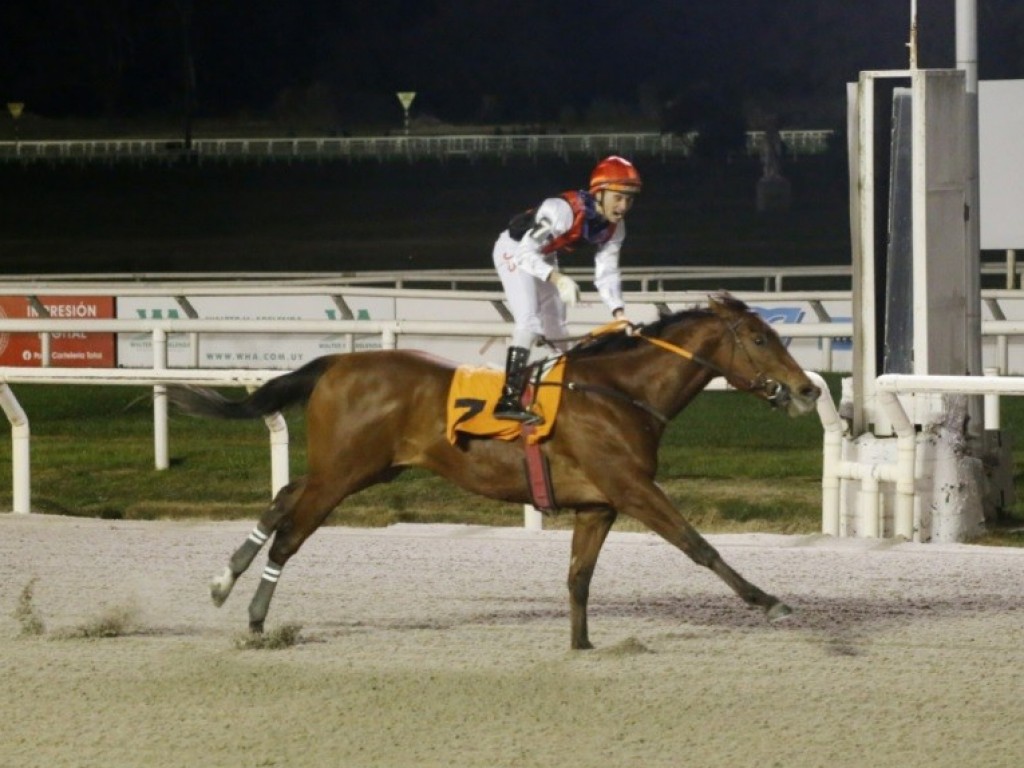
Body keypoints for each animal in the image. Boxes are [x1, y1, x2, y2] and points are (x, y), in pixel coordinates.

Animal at [169, 292, 823, 651]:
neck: (621, 392)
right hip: (343, 472)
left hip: (361, 467)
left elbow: (579, 577)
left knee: (283, 494)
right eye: (760, 339)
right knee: (290, 533)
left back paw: (224, 581)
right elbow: (699, 546)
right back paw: (257, 619)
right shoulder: (633, 488)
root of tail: (336, 361)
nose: (807, 390)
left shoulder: (598, 504)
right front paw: (770, 601)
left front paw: (582, 644)